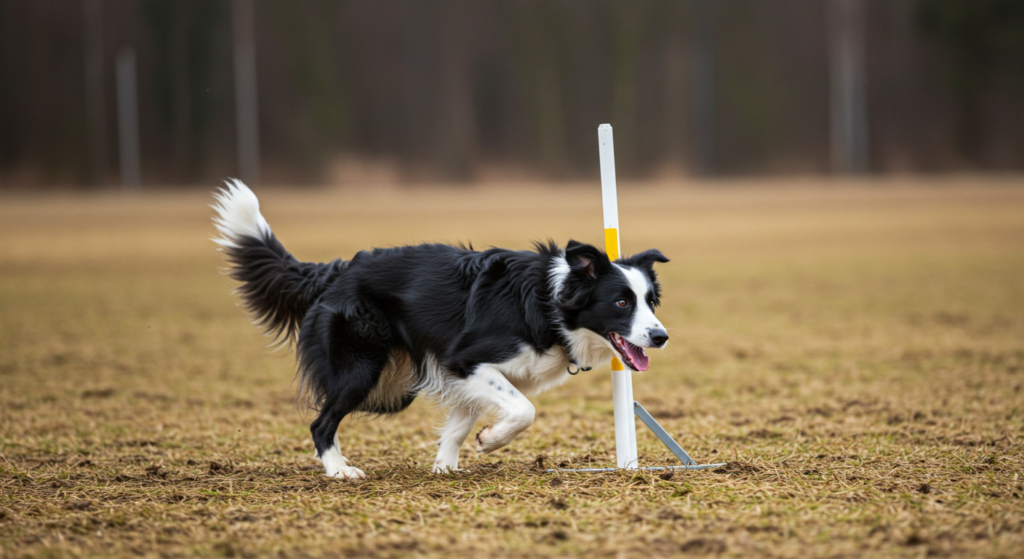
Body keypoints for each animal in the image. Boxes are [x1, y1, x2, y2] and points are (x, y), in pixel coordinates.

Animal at [211, 180, 667, 477]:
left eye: (650, 302)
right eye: (621, 303)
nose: (661, 337)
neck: (551, 303)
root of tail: (336, 270)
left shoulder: (461, 371)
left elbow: (460, 423)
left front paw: (446, 466)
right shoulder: (468, 359)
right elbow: (524, 409)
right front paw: (491, 440)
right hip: (364, 370)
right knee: (321, 422)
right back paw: (340, 470)